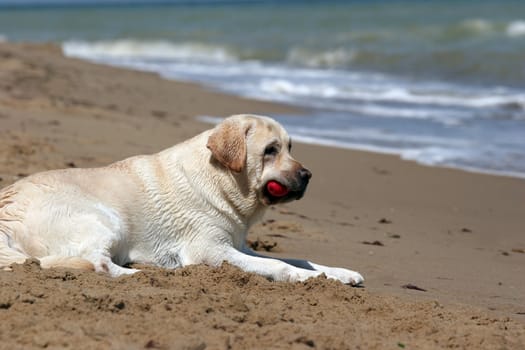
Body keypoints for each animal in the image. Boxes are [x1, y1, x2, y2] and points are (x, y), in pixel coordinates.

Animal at [0, 116, 362, 286]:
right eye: (270, 150)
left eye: (290, 147)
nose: (308, 175)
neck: (222, 182)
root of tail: (6, 207)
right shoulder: (212, 251)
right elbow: (279, 265)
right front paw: (313, 279)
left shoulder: (239, 246)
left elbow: (301, 258)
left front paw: (338, 273)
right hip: (104, 219)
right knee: (92, 262)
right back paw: (139, 275)